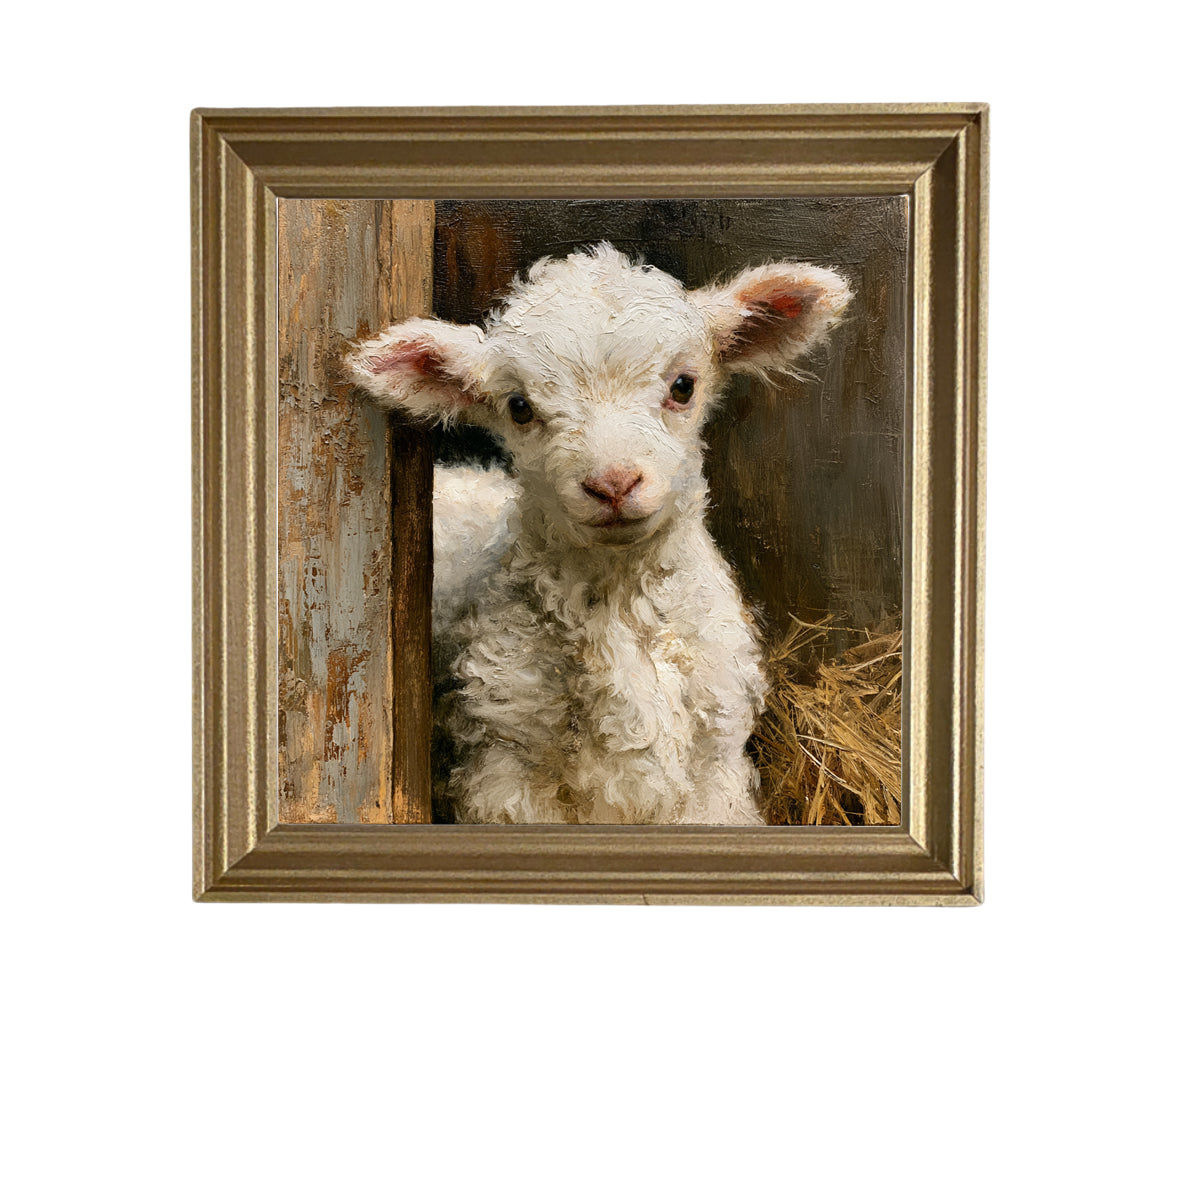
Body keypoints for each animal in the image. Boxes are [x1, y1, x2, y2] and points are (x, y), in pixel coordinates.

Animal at [347, 243, 851, 824]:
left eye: (683, 386)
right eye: (519, 407)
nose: (612, 483)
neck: (620, 604)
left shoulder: (714, 771)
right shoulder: (506, 770)